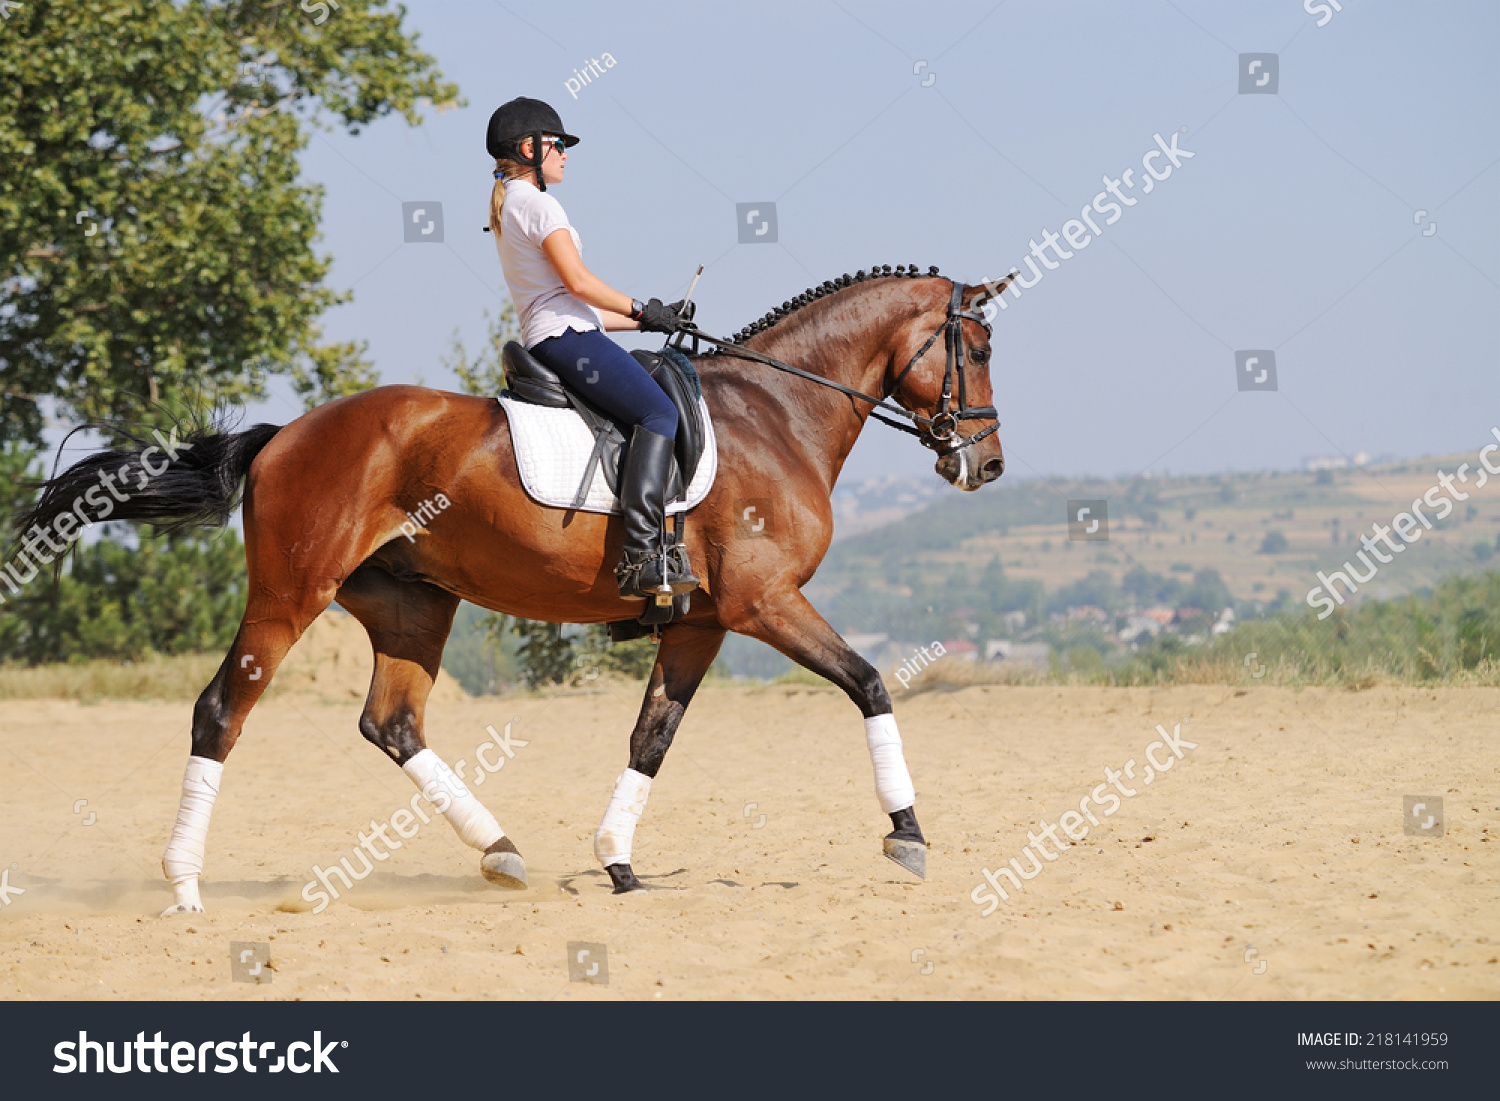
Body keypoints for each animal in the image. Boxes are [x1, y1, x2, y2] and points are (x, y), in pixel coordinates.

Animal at [14, 267, 1008, 912]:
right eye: (980, 344)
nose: (988, 463)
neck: (778, 413)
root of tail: (283, 434)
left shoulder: (702, 622)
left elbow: (652, 735)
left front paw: (616, 863)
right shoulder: (765, 605)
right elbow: (870, 682)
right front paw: (908, 835)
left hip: (413, 602)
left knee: (392, 721)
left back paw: (499, 852)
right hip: (292, 594)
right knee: (223, 709)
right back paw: (184, 884)